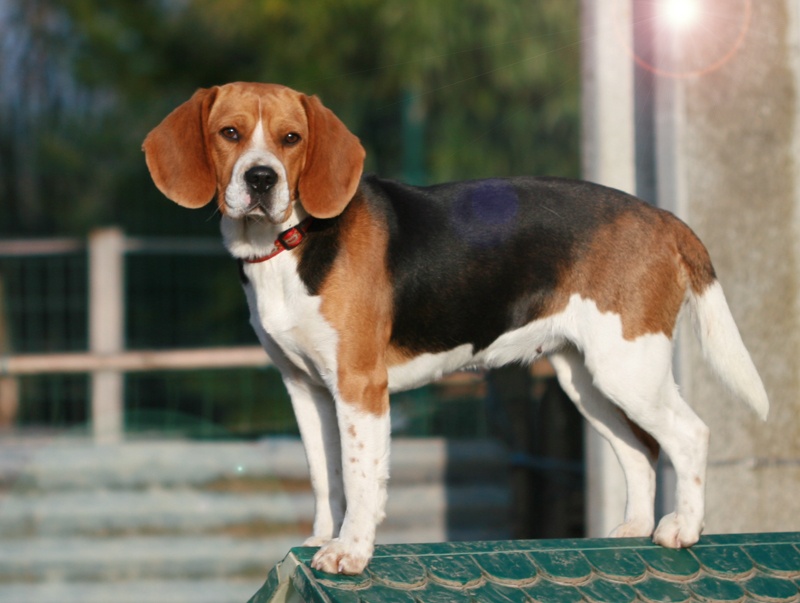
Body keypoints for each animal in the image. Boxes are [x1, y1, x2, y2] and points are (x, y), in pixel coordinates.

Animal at [143, 81, 768, 575]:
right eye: (229, 132)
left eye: (291, 138)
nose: (261, 178)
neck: (290, 242)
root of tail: (662, 218)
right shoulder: (306, 391)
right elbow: (326, 477)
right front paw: (322, 537)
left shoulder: (360, 386)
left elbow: (361, 478)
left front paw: (351, 551)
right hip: (587, 381)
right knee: (640, 449)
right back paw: (633, 529)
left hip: (628, 368)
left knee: (690, 435)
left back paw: (683, 528)